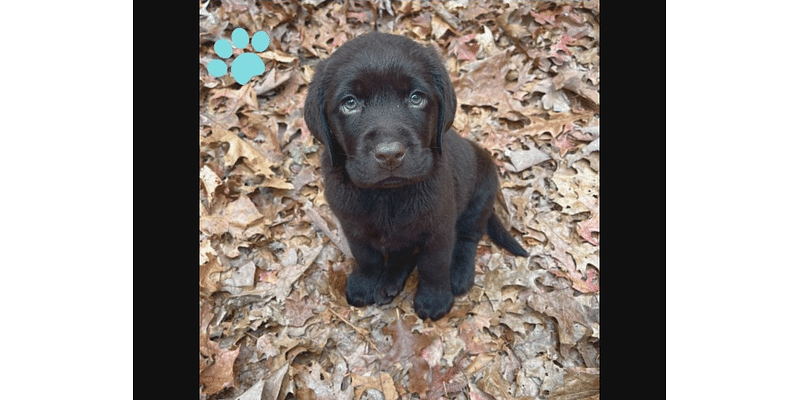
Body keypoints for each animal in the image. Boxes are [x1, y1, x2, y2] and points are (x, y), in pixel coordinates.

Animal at [304, 32, 528, 322]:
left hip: (481, 194)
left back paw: (458, 273)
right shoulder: (353, 226)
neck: (388, 196)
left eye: (415, 97)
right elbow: (366, 257)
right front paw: (365, 283)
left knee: (468, 237)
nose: (390, 154)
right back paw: (389, 282)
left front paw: (434, 299)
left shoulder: (439, 228)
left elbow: (434, 265)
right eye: (349, 103)